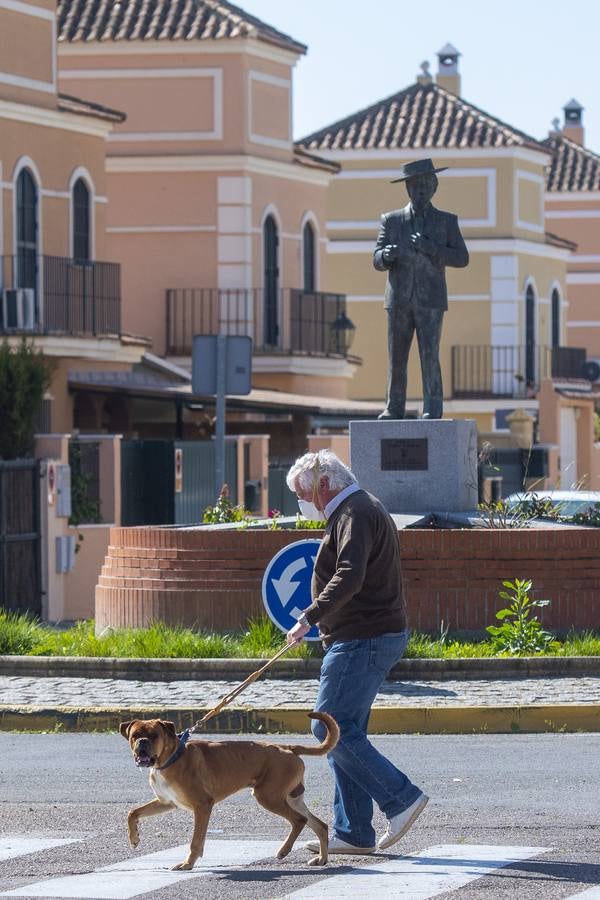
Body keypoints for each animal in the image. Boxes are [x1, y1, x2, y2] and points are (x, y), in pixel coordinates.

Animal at [119, 712, 340, 872]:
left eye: (154, 736)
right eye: (134, 735)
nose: (142, 743)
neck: (172, 757)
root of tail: (287, 747)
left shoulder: (202, 806)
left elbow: (195, 841)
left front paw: (188, 863)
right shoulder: (166, 802)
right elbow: (132, 812)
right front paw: (134, 837)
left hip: (268, 797)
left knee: (299, 820)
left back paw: (284, 851)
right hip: (291, 799)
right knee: (319, 825)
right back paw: (322, 858)